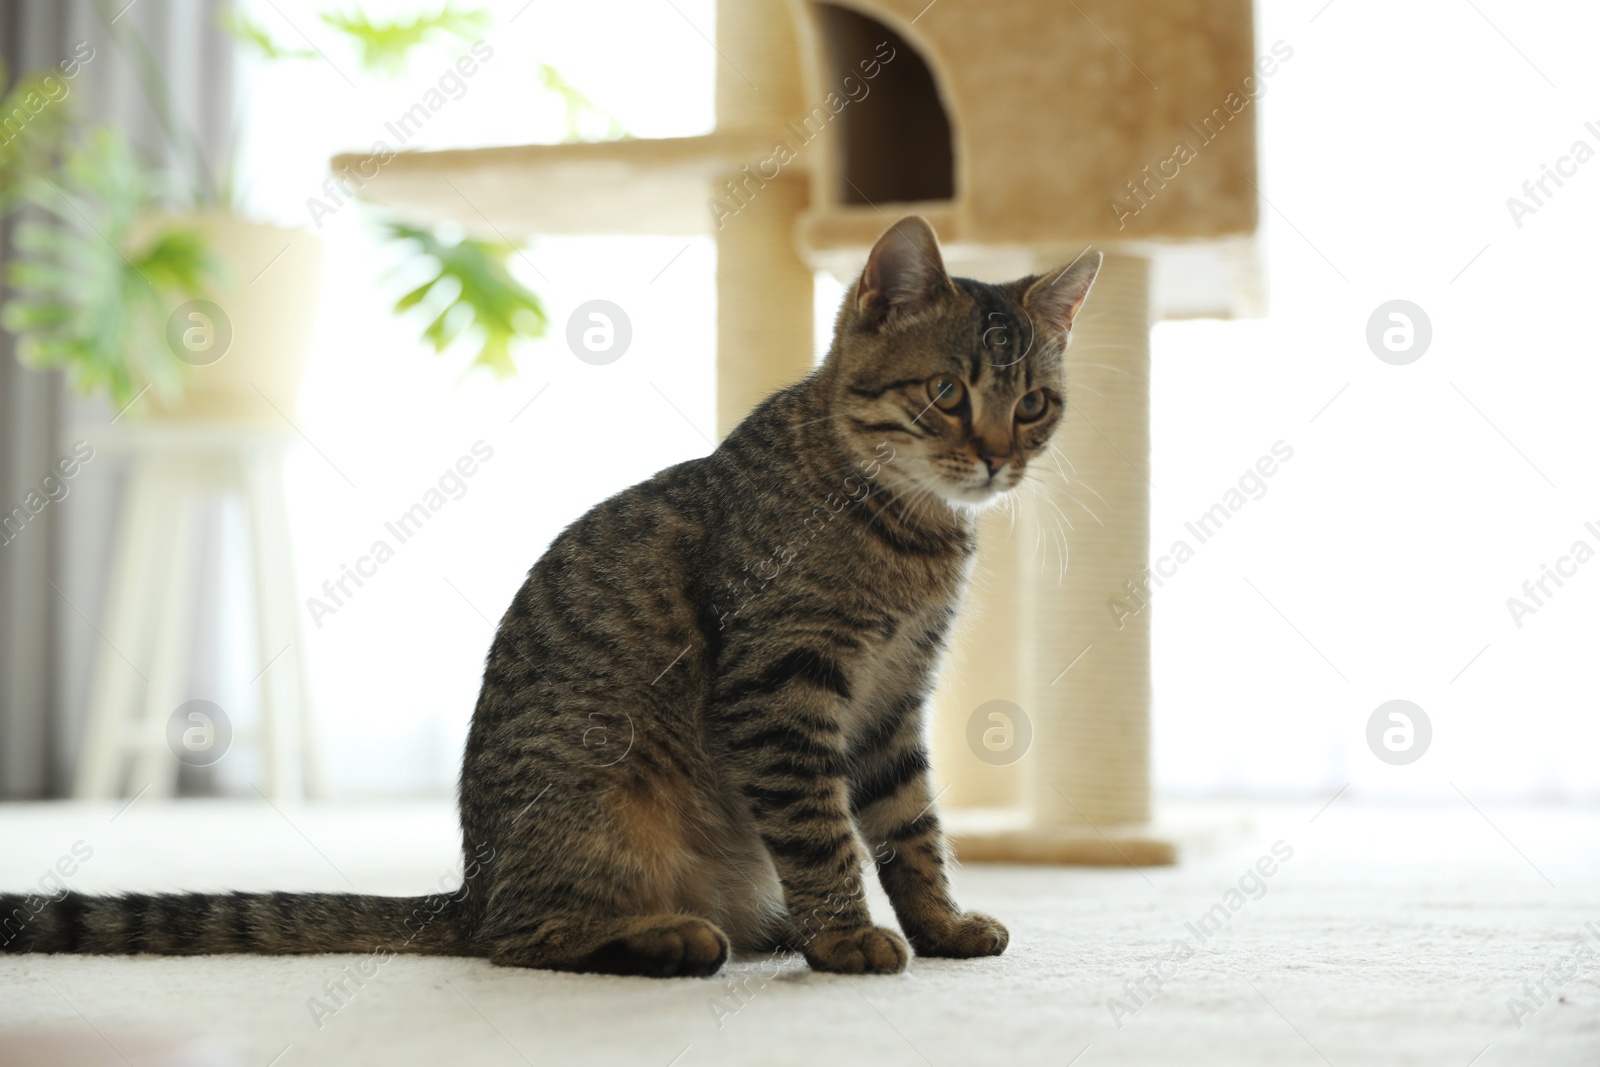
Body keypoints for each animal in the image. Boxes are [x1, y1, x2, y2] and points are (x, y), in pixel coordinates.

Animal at [0, 214, 1094, 979]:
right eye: (948, 394)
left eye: (1035, 404)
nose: (998, 456)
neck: (910, 532)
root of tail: (469, 888)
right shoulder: (783, 684)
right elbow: (824, 828)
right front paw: (847, 935)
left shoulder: (893, 697)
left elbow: (910, 826)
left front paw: (939, 922)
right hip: (608, 805)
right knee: (523, 941)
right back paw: (673, 938)